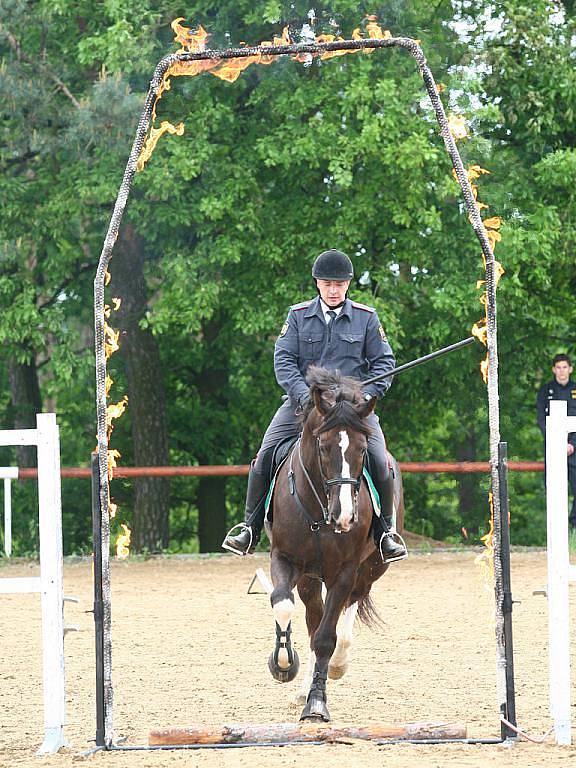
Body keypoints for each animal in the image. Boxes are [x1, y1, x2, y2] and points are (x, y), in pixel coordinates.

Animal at [266, 364, 404, 720]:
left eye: (362, 449)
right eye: (322, 446)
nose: (344, 516)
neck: (319, 511)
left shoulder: (345, 571)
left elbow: (327, 638)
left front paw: (317, 703)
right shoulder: (285, 560)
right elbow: (283, 605)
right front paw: (283, 664)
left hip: (370, 569)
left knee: (349, 610)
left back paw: (338, 664)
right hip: (311, 578)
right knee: (313, 617)